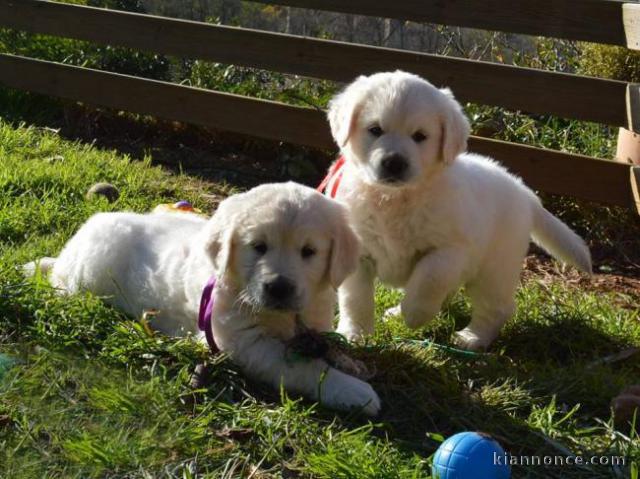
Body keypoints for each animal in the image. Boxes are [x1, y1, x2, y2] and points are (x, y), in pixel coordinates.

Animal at [27, 184, 380, 416]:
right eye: (258, 247)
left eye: (309, 252)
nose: (278, 288)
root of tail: (68, 253)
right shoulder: (246, 345)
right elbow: (305, 368)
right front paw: (353, 390)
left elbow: (324, 345)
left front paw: (349, 362)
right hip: (90, 273)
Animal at [322, 70, 592, 348]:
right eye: (375, 130)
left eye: (420, 136)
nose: (394, 163)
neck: (395, 199)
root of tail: (524, 192)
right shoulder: (359, 252)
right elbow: (355, 298)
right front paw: (355, 333)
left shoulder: (451, 250)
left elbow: (429, 278)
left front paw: (414, 314)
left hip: (495, 269)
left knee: (496, 308)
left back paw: (472, 338)